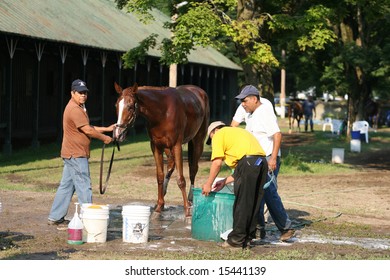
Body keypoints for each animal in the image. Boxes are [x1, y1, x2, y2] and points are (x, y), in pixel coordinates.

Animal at [113, 82, 210, 218]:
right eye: (116, 105)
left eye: (131, 106)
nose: (118, 133)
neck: (162, 112)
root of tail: (200, 91)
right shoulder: (156, 147)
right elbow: (159, 176)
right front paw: (159, 206)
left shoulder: (177, 145)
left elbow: (181, 179)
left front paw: (187, 210)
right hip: (168, 149)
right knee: (171, 165)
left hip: (197, 141)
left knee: (193, 169)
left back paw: (190, 200)